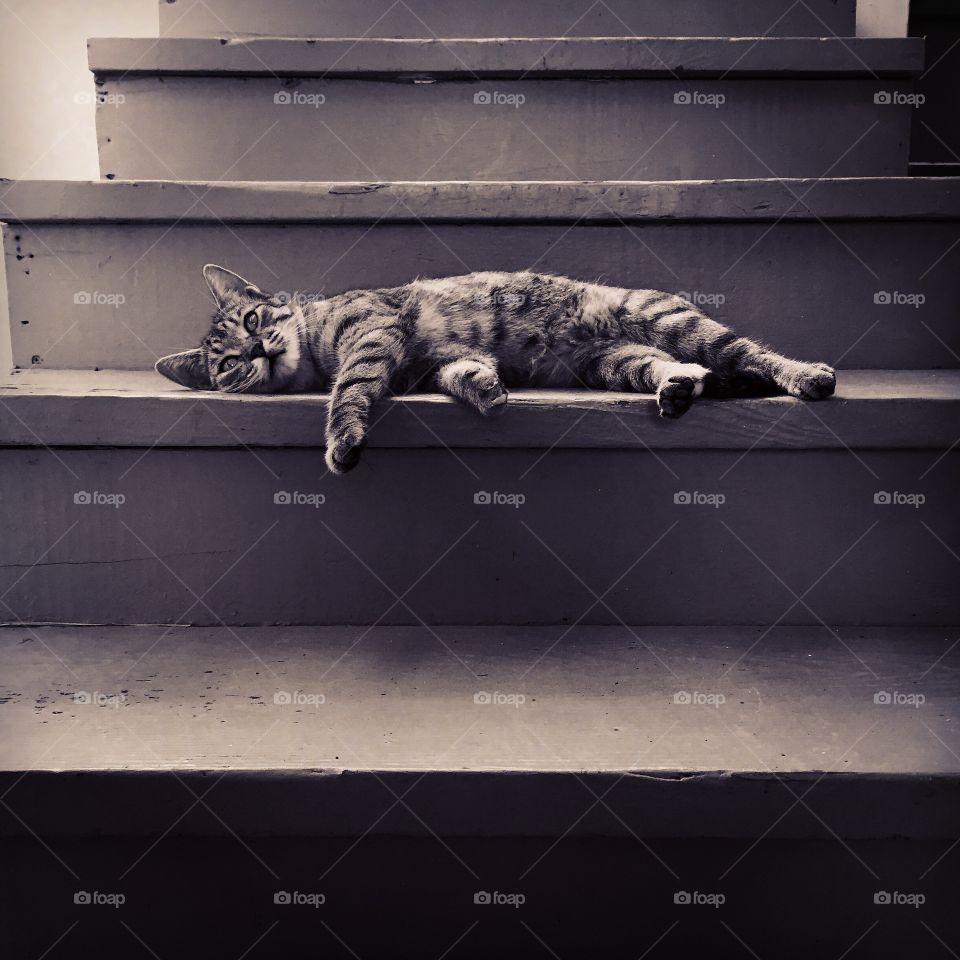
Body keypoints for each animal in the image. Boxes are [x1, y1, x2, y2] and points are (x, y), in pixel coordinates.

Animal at [156, 264, 832, 474]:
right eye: (227, 365)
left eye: (251, 320)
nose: (257, 352)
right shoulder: (430, 365)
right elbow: (461, 373)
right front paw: (485, 389)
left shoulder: (372, 333)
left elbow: (351, 387)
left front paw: (342, 438)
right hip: (618, 364)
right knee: (679, 369)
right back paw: (677, 387)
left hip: (666, 320)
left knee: (750, 354)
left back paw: (808, 374)